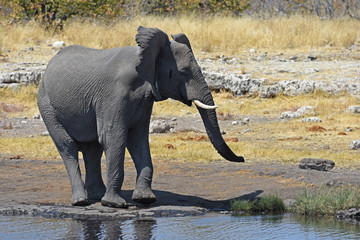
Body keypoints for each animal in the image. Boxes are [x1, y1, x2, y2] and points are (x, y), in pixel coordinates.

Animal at [36, 25, 245, 207]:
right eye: (183, 72)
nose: (242, 158)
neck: (145, 55)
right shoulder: (113, 95)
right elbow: (113, 137)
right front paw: (115, 204)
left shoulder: (145, 98)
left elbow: (137, 139)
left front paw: (145, 199)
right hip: (46, 103)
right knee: (67, 147)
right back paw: (81, 201)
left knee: (92, 149)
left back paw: (96, 196)